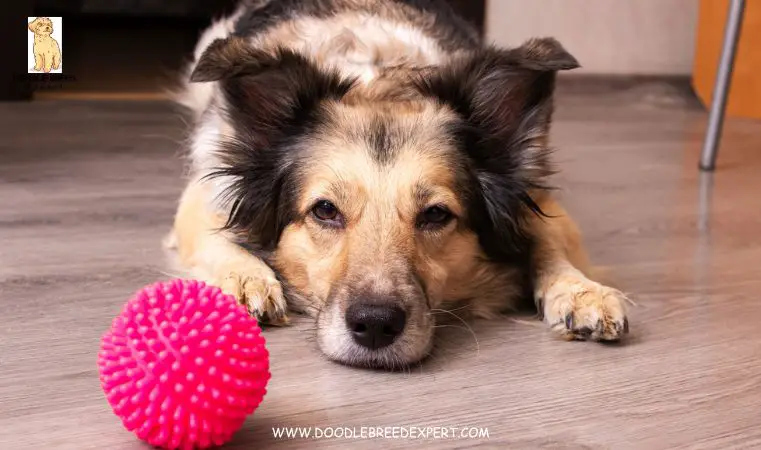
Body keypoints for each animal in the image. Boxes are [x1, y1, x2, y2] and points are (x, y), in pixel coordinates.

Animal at [168, 0, 628, 370]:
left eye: (436, 215)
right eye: (325, 210)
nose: (375, 326)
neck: (378, 84)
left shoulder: (536, 197)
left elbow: (550, 241)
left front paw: (581, 291)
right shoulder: (204, 190)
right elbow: (214, 236)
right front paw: (247, 279)